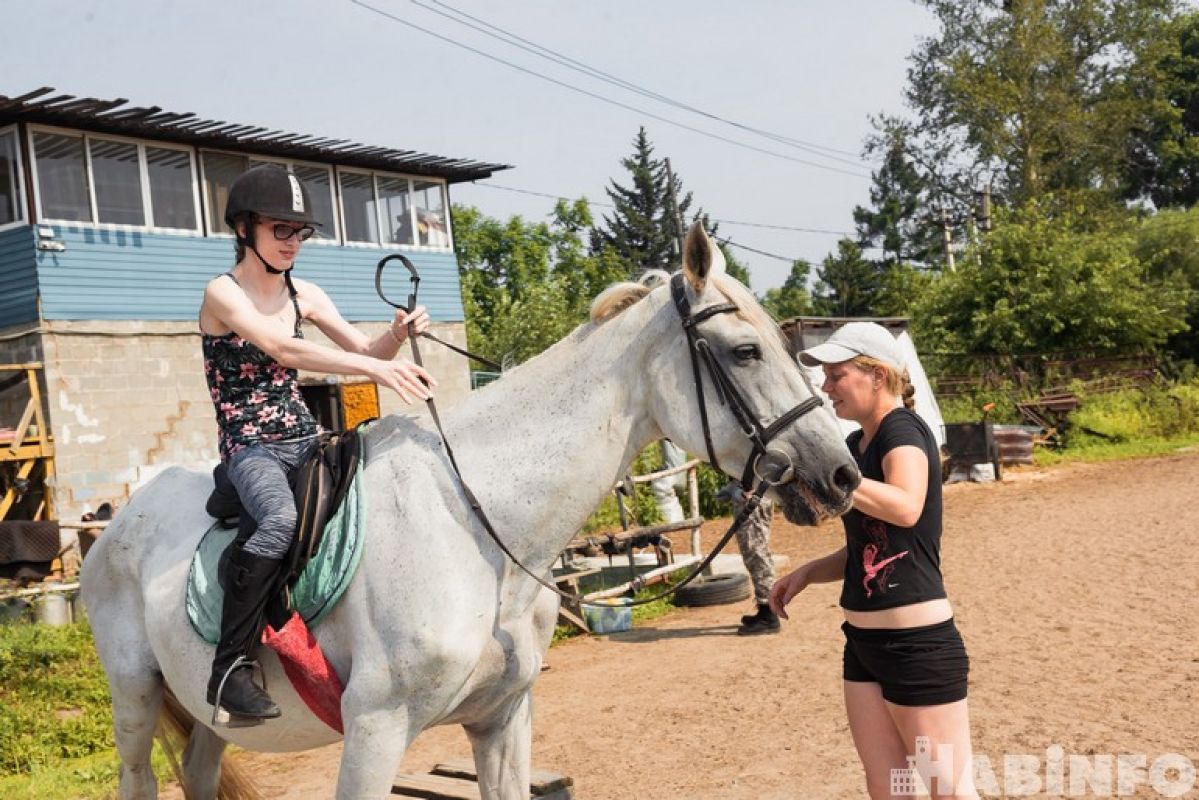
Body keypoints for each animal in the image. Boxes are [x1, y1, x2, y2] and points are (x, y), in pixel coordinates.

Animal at [79, 225, 858, 800]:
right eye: (745, 350)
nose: (841, 473)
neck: (478, 530)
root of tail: (112, 528)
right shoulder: (374, 732)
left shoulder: (502, 721)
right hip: (135, 699)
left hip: (203, 715)